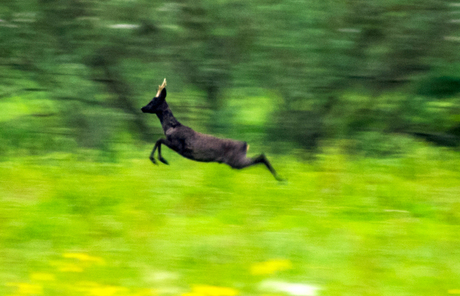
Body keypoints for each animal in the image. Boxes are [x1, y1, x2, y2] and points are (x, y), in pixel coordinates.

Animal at [141, 78, 284, 180]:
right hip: (236, 161)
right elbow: (159, 140)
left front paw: (160, 160)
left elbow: (159, 139)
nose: (142, 108)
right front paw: (159, 159)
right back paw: (279, 178)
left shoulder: (178, 145)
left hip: (236, 161)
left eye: (154, 101)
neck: (171, 127)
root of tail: (246, 145)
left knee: (261, 157)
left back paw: (280, 178)